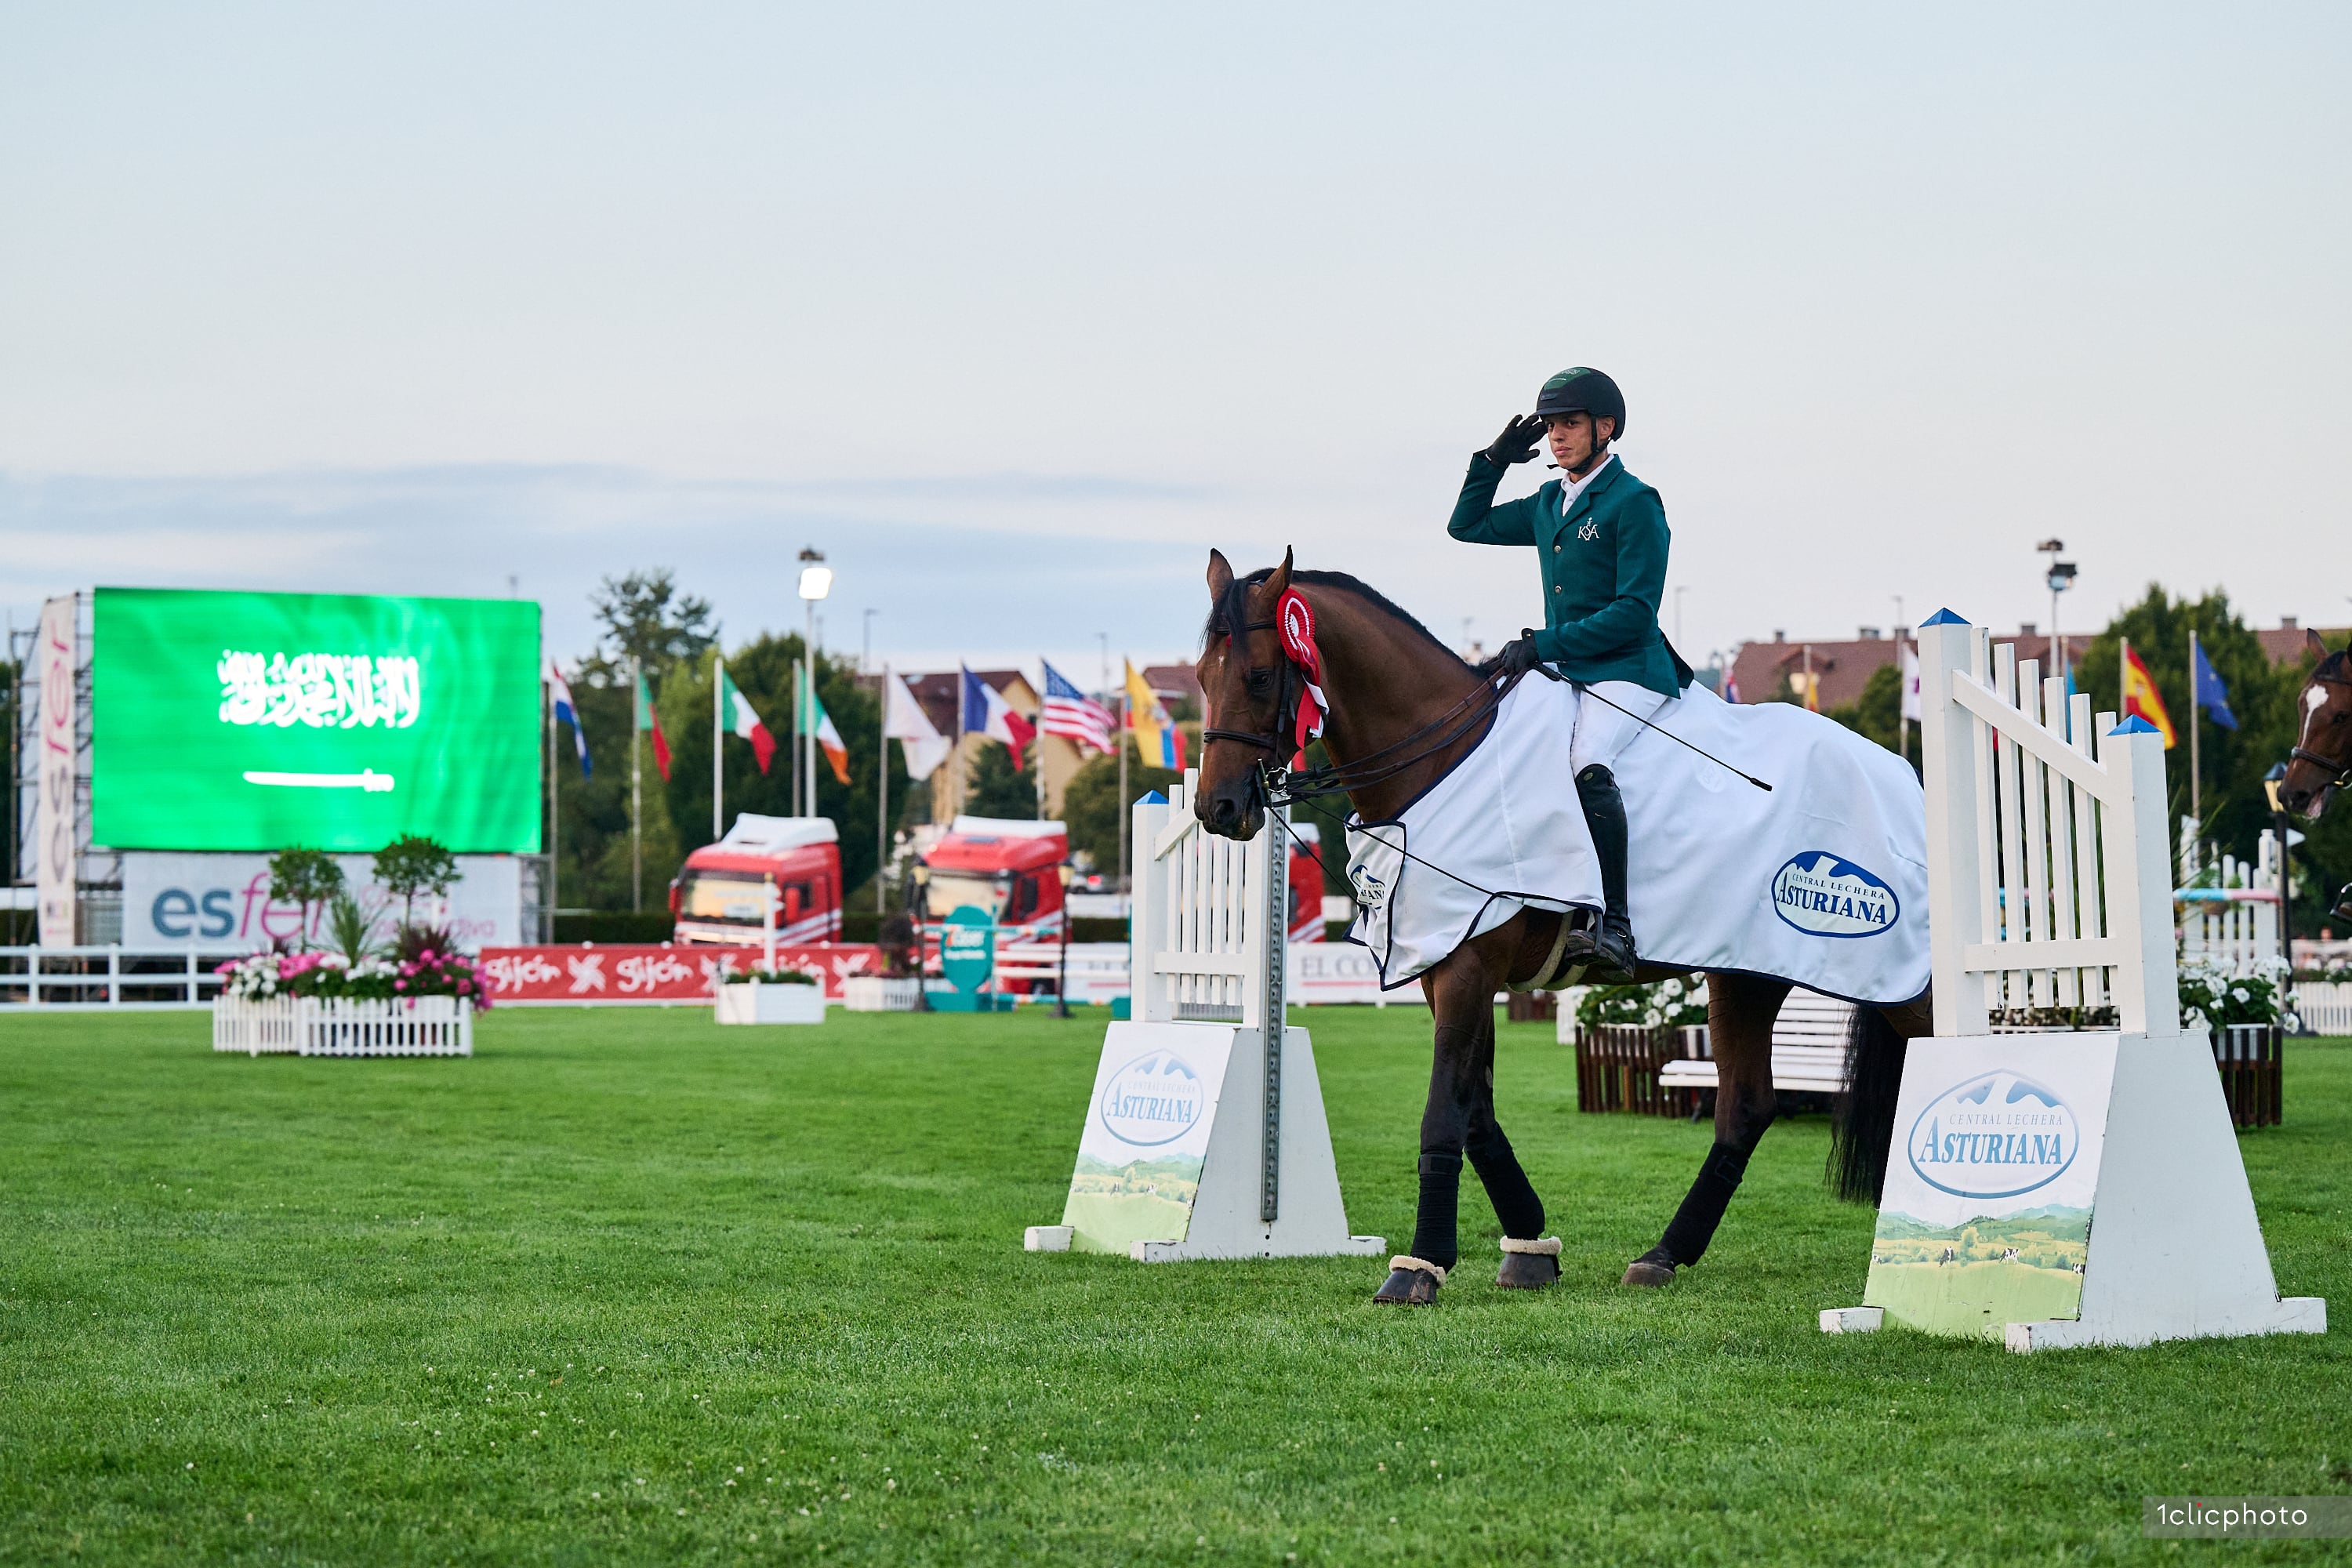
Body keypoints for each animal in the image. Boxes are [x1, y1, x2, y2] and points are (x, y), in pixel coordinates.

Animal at [1195, 550, 1929, 1298]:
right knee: (1747, 1108)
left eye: (1260, 676)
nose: (1217, 808)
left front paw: (1419, 1266)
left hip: (1901, 982)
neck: (1444, 761)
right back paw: (1664, 1254)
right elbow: (1476, 1113)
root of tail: (1908, 778)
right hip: (1746, 971)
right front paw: (1528, 1244)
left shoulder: (1468, 967)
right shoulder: (1448, 963)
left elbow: (1444, 1112)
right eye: (1200, 676)